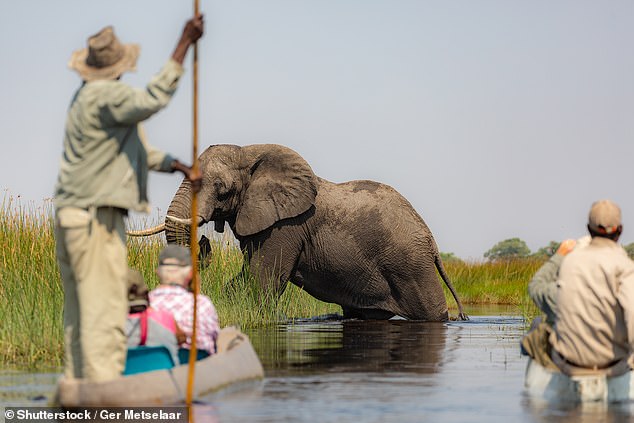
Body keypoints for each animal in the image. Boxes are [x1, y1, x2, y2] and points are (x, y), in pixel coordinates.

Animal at [132, 144, 464, 322]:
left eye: (221, 188)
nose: (203, 240)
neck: (250, 152)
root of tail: (431, 240)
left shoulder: (284, 227)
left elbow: (263, 280)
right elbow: (244, 278)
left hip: (411, 265)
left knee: (432, 313)